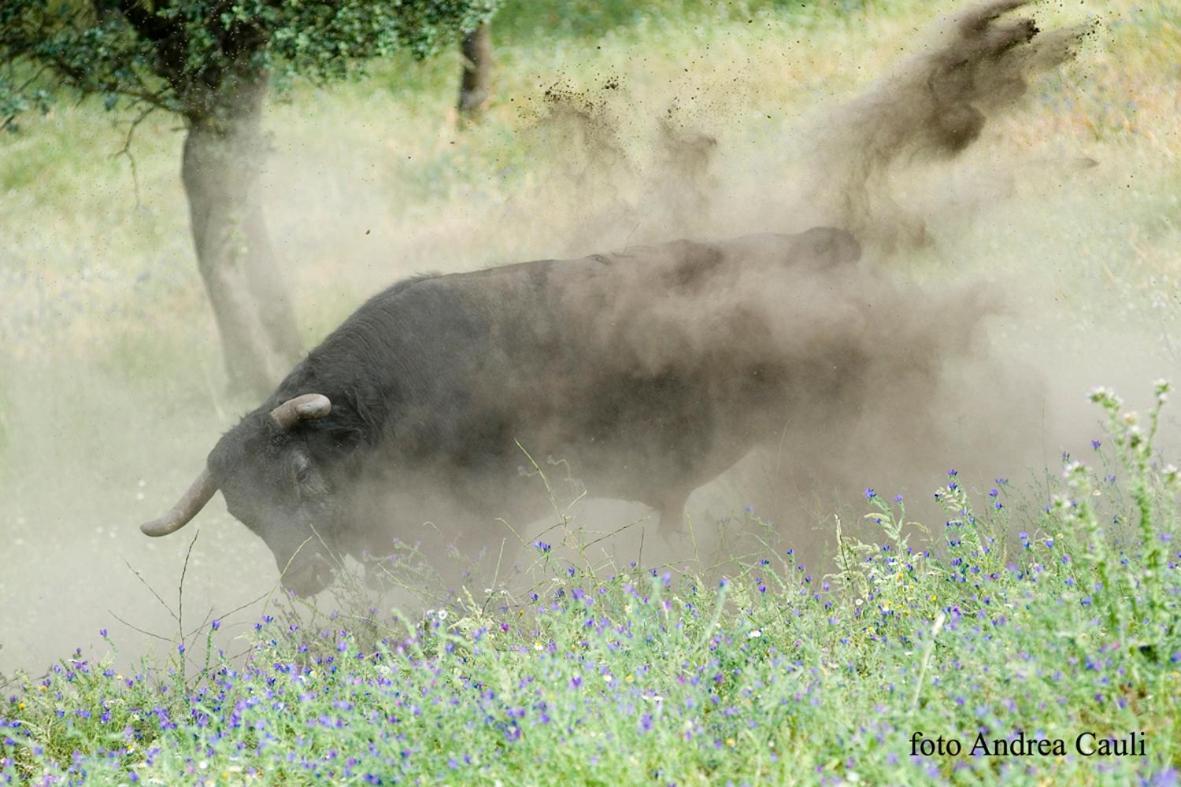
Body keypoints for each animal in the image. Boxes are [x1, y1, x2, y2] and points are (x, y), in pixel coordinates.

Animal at [142, 226, 982, 595]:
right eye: (243, 512)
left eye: (301, 473)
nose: (302, 577)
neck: (380, 406)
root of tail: (825, 242)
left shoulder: (481, 527)